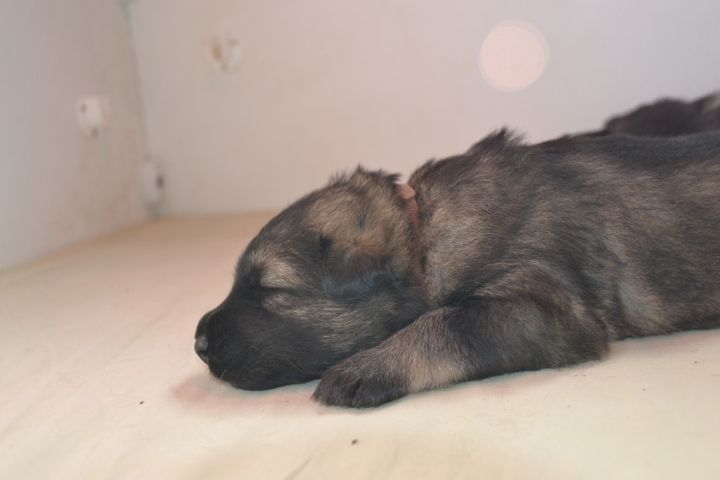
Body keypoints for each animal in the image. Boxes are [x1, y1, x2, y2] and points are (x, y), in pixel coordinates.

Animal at [194, 130, 720, 408]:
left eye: (269, 289)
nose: (198, 342)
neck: (422, 228)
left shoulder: (545, 305)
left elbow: (448, 321)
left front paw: (370, 366)